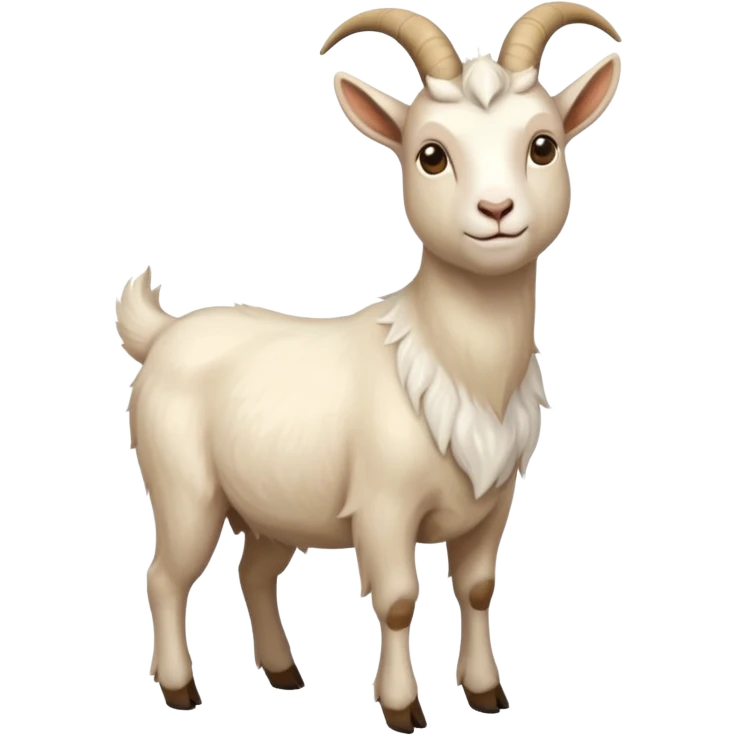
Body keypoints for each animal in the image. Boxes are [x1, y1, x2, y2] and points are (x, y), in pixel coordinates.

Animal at [118, 3, 622, 730]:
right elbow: (397, 599)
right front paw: (404, 707)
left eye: (544, 145)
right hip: (185, 488)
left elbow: (476, 589)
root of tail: (163, 334)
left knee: (254, 572)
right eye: (430, 154)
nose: (497, 212)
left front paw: (486, 693)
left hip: (272, 502)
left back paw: (284, 673)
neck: (449, 362)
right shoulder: (385, 506)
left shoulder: (492, 505)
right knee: (166, 575)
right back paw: (182, 689)